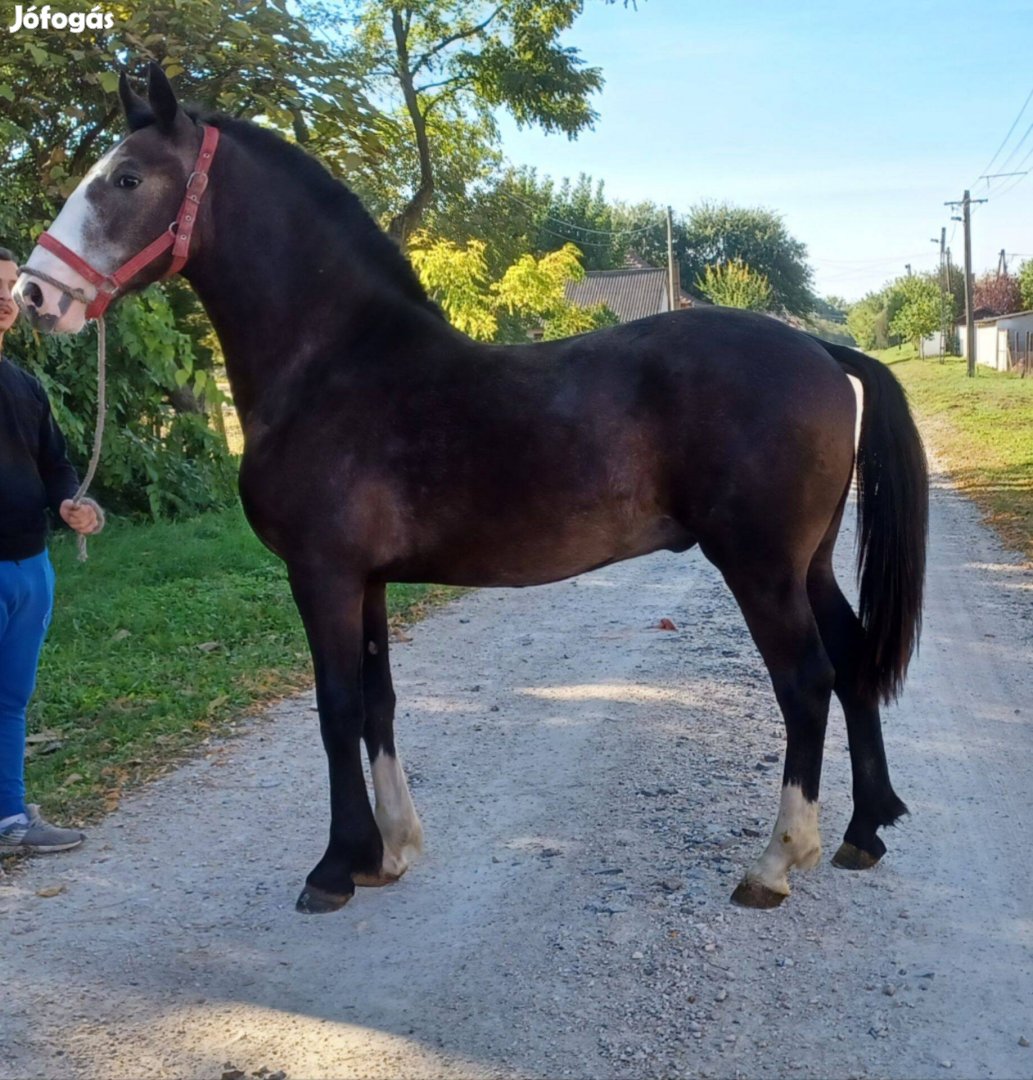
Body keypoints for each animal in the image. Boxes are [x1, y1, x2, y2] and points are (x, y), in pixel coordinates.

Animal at [14, 65, 929, 911]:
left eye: (127, 179)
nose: (34, 294)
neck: (333, 361)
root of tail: (820, 351)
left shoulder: (321, 575)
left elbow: (335, 708)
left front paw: (334, 868)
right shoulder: (366, 582)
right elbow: (377, 703)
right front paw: (388, 853)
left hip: (759, 566)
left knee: (804, 681)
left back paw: (775, 862)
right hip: (807, 563)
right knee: (851, 661)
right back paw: (862, 832)